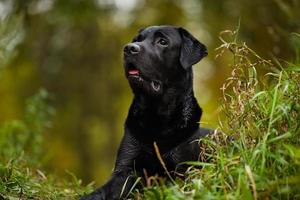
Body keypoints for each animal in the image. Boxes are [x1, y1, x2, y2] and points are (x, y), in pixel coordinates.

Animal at [79, 25, 211, 199]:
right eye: (137, 40)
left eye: (162, 41)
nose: (129, 48)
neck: (156, 118)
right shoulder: (125, 168)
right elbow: (103, 191)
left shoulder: (183, 169)